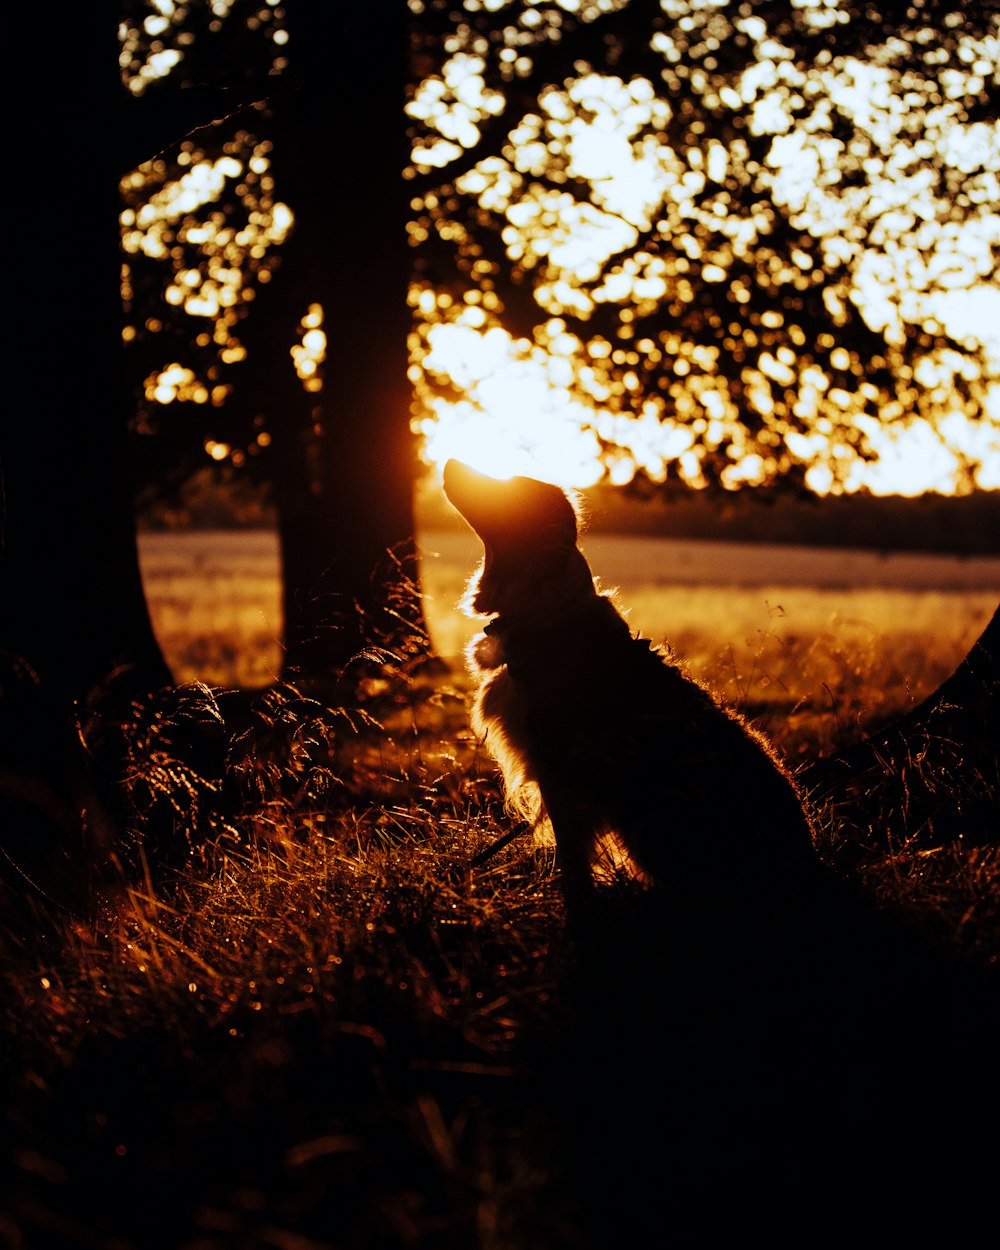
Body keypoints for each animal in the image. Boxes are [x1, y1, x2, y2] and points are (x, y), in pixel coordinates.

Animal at [445, 460, 820, 910]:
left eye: (513, 489)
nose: (448, 462)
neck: (546, 616)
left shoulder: (560, 775)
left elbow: (574, 866)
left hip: (656, 817)